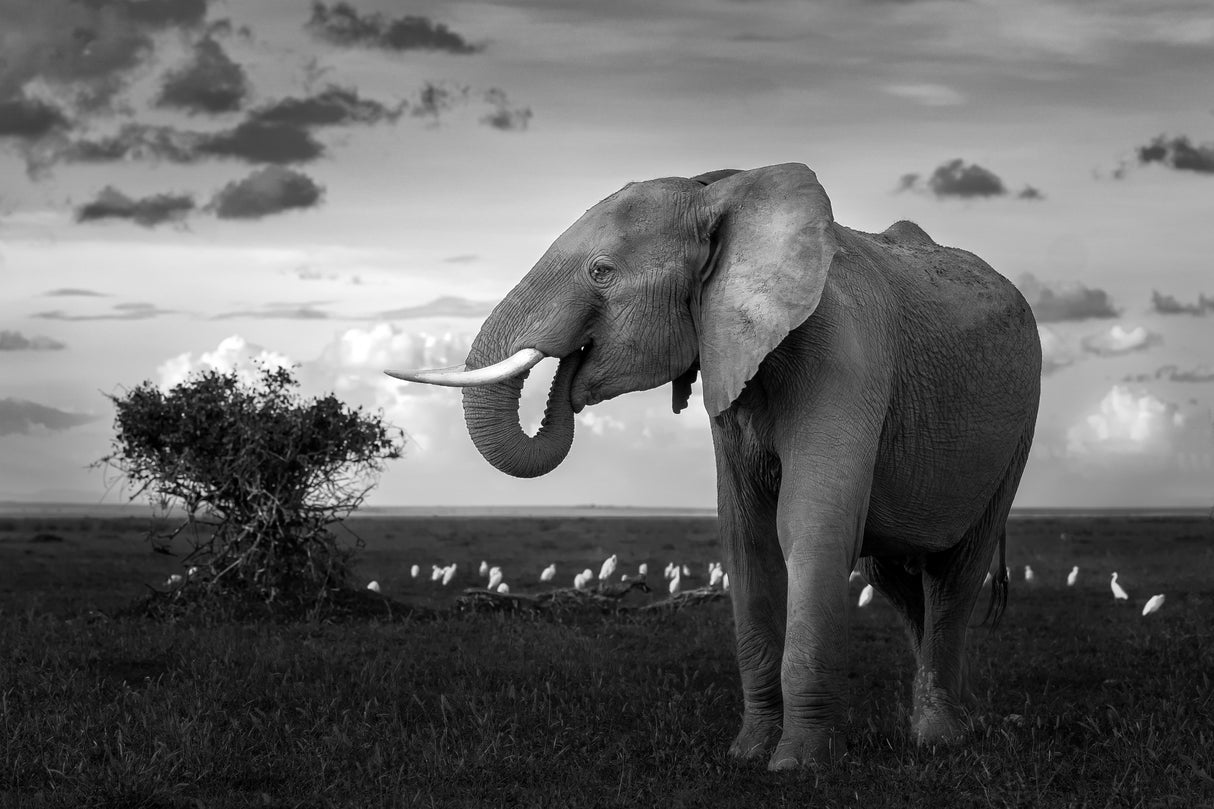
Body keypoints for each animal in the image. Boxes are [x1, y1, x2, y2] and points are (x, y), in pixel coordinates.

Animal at [387, 163, 1041, 770]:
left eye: (602, 272)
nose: (571, 375)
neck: (723, 195)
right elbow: (745, 537)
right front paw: (747, 754)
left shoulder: (844, 354)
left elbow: (811, 527)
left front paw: (797, 765)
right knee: (893, 576)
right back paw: (950, 724)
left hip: (1020, 425)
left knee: (954, 573)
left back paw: (940, 738)